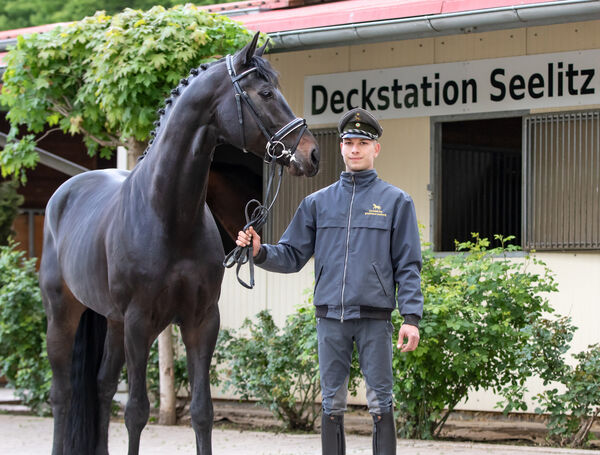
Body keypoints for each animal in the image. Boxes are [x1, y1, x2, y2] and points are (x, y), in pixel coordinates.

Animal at [38, 33, 318, 455]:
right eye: (266, 92)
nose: (311, 154)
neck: (168, 216)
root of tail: (65, 192)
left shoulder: (202, 321)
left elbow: (202, 412)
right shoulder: (139, 323)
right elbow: (137, 411)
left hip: (112, 322)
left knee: (102, 387)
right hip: (63, 315)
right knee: (63, 394)